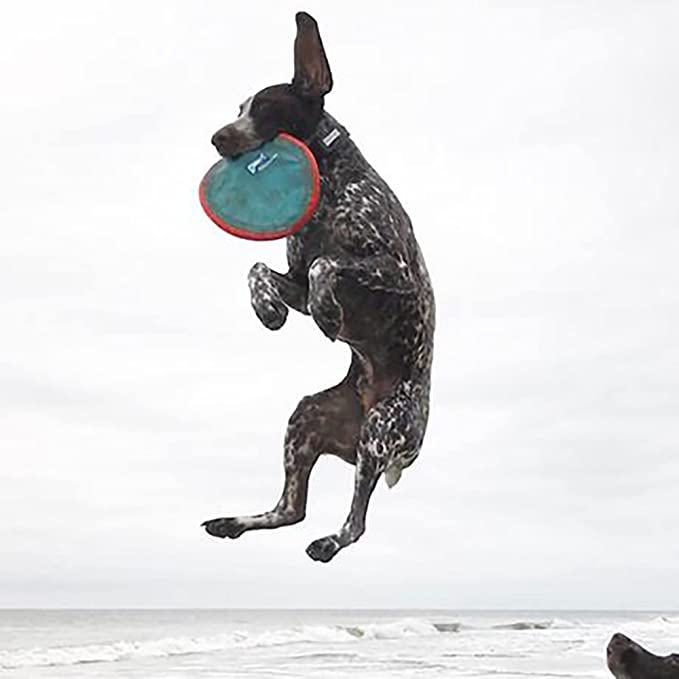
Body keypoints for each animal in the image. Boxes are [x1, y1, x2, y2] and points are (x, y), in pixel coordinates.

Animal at [202, 10, 436, 564]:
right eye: (239, 108)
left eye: (266, 108)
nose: (217, 137)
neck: (330, 184)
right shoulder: (292, 280)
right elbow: (260, 270)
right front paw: (267, 310)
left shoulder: (394, 270)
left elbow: (326, 266)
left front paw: (331, 311)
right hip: (304, 419)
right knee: (290, 510)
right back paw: (233, 522)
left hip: (381, 430)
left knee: (356, 524)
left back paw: (329, 542)